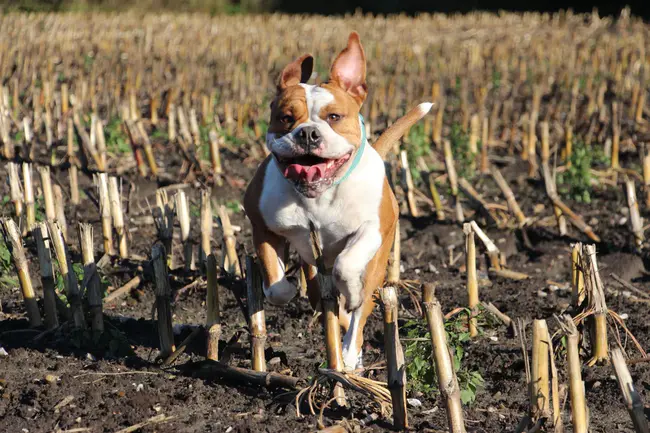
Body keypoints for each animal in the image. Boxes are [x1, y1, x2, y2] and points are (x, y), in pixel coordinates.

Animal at [243, 31, 430, 368]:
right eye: (285, 118)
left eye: (334, 117)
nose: (307, 133)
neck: (319, 196)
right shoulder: (263, 226)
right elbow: (276, 285)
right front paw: (285, 287)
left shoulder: (372, 230)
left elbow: (347, 264)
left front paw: (351, 293)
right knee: (322, 297)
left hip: (379, 262)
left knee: (359, 311)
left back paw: (349, 354)